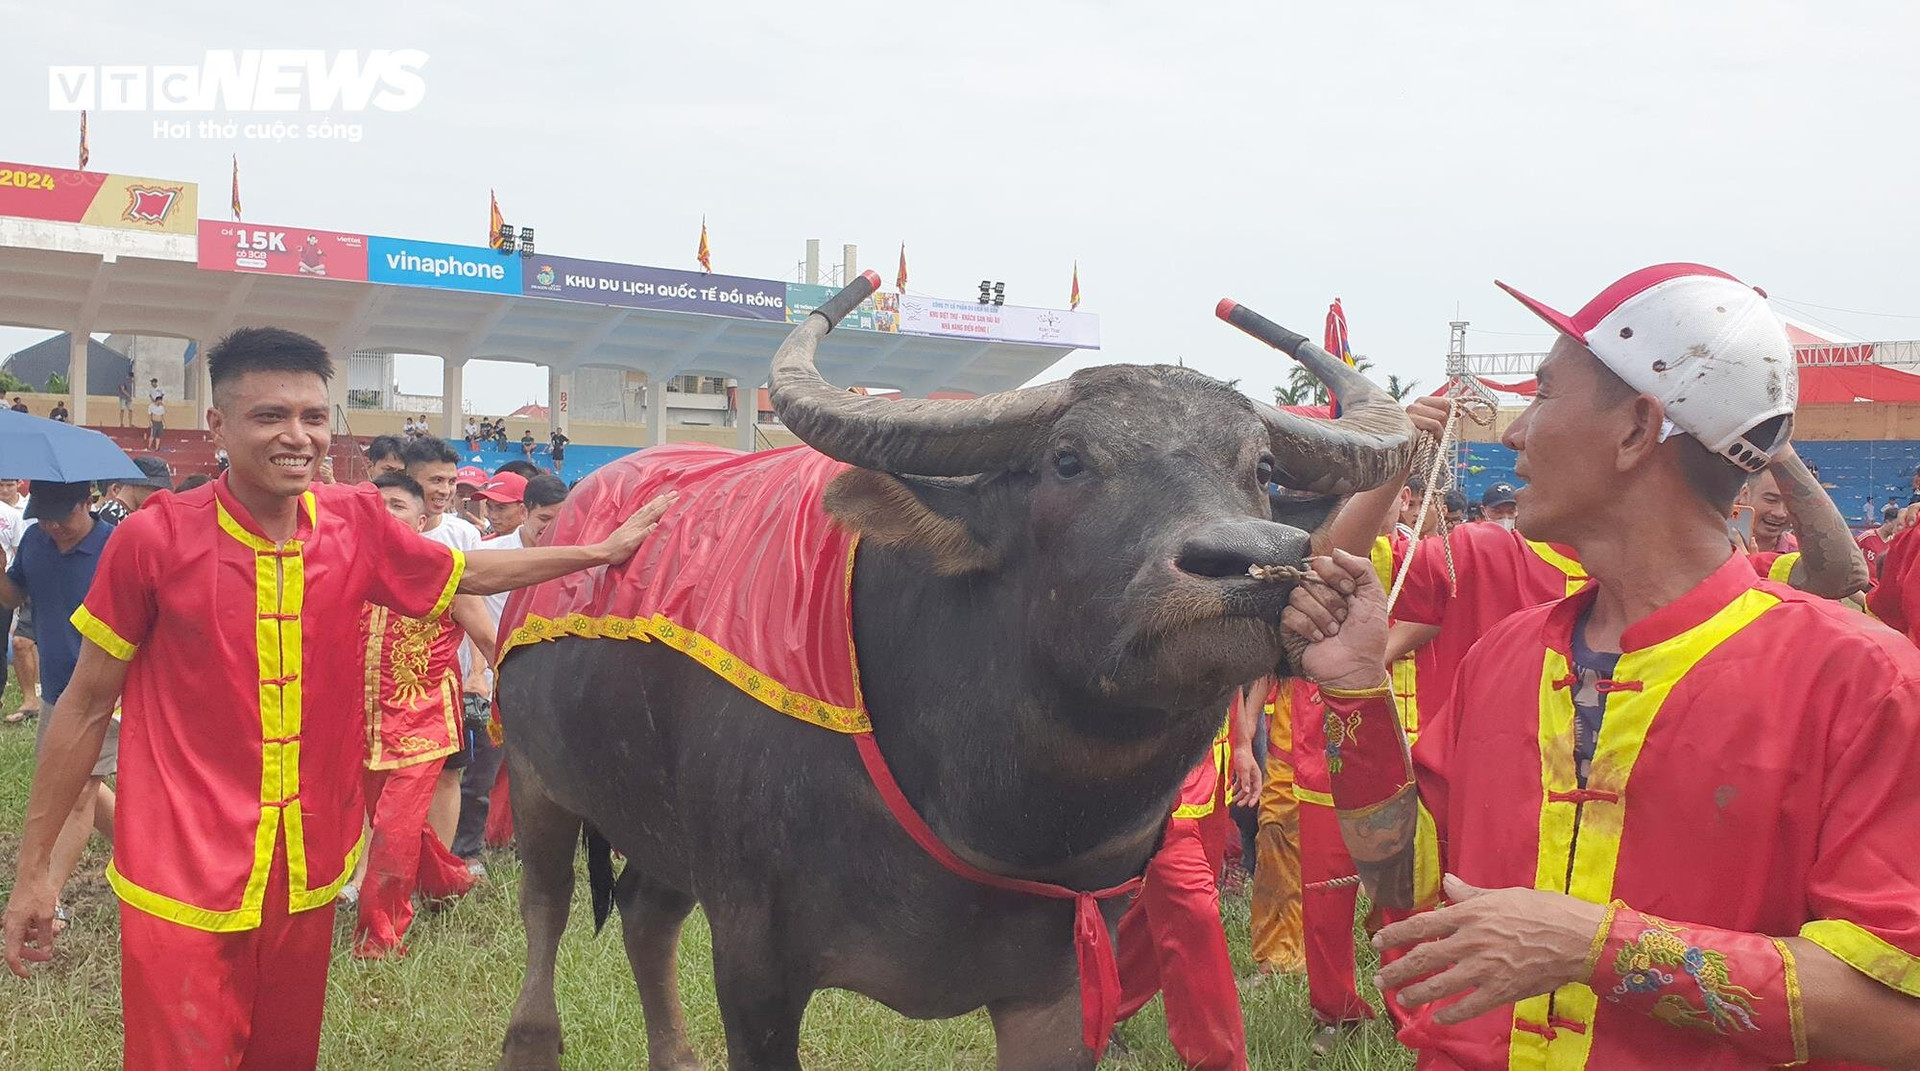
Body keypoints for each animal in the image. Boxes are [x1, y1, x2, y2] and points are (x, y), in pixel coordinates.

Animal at [483, 278, 1413, 1071]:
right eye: (1068, 460)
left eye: (1261, 469)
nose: (1256, 563)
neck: (995, 804)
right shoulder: (754, 963)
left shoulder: (1061, 983)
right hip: (534, 774)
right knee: (546, 909)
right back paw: (531, 1036)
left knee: (646, 914)